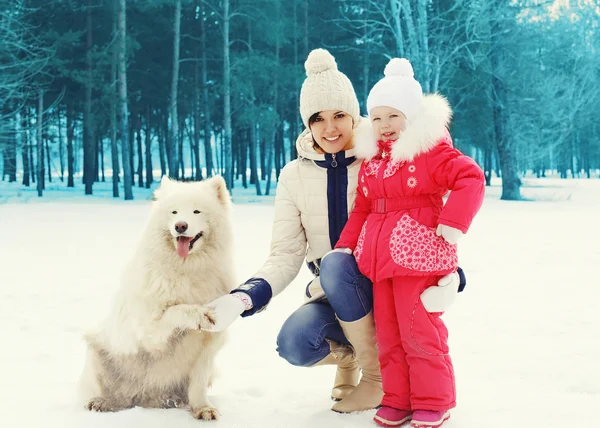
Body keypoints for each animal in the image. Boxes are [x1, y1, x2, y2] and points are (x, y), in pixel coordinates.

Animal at [79, 176, 237, 420]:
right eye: (174, 212)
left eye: (196, 211)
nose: (180, 226)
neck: (186, 269)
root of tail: (142, 395)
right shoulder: (150, 330)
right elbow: (175, 310)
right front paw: (198, 314)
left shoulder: (208, 344)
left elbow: (199, 383)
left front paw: (203, 409)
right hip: (96, 351)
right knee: (113, 395)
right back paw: (102, 402)